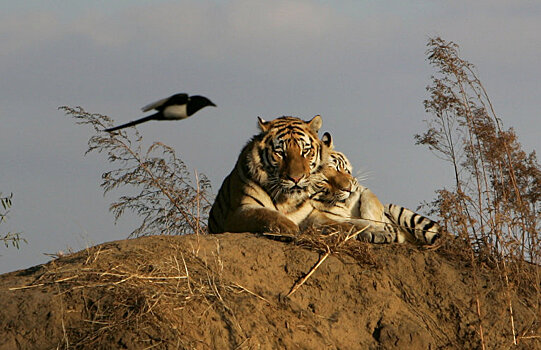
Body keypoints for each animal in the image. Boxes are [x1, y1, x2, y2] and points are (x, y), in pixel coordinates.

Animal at [302, 133, 440, 245]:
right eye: (325, 181)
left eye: (337, 167)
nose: (348, 189)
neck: (346, 203)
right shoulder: (318, 217)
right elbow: (347, 223)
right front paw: (376, 231)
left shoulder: (362, 189)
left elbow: (370, 201)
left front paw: (378, 223)